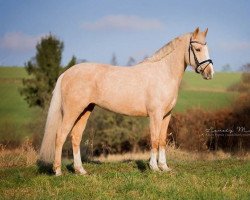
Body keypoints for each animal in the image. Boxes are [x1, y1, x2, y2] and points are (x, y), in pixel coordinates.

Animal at [39, 27, 215, 175]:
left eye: (207, 48)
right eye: (198, 49)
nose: (210, 73)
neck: (163, 73)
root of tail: (66, 73)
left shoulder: (166, 115)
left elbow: (162, 140)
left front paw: (164, 167)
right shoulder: (155, 115)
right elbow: (154, 140)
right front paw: (154, 168)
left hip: (85, 110)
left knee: (75, 137)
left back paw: (80, 170)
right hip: (72, 111)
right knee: (60, 136)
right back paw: (58, 171)